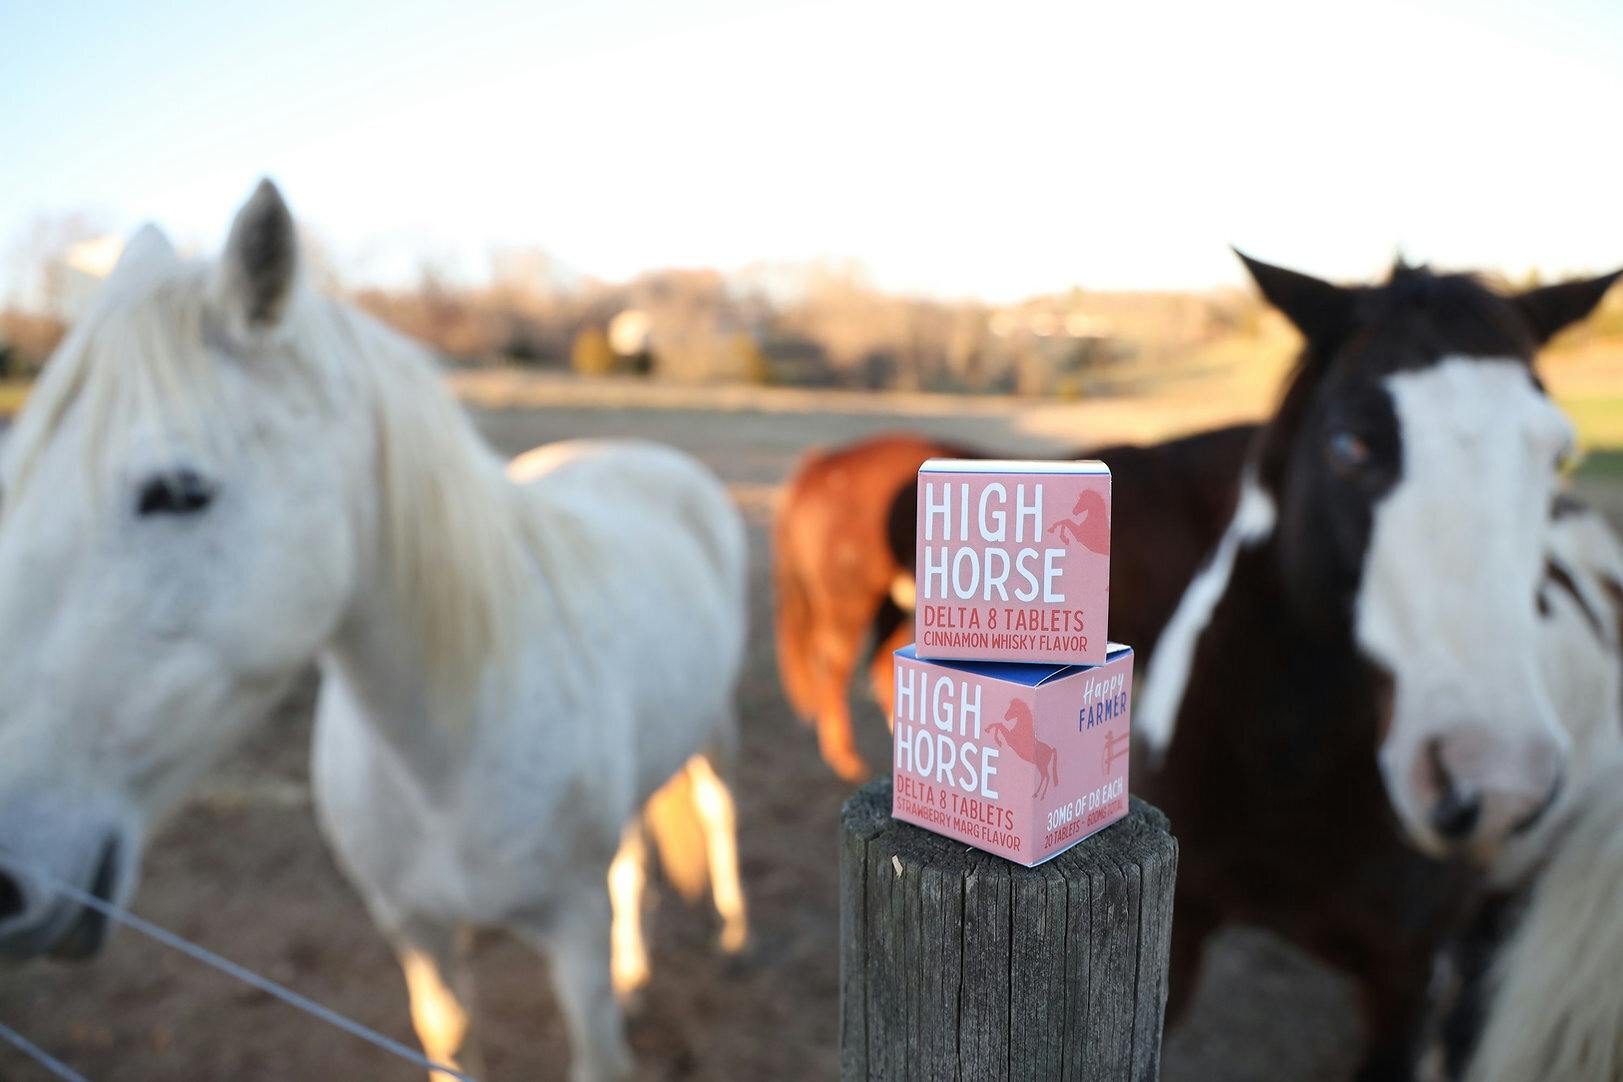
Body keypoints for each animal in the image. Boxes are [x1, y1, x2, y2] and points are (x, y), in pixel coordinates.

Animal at [0, 181, 750, 1082]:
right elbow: (450, 1040)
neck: (444, 759)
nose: (0, 883)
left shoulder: (572, 935)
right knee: (635, 859)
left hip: (715, 733)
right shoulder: (413, 930)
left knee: (716, 813)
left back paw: (735, 940)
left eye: (179, 491)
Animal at [773, 423, 1257, 780]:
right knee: (834, 669)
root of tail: (822, 464)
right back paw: (848, 760)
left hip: (894, 604)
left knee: (877, 667)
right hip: (848, 605)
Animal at [1134, 253, 1621, 1079]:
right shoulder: (1179, 930)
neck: (1285, 771)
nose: (1495, 785)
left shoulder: (1404, 984)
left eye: (1559, 455)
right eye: (1348, 446)